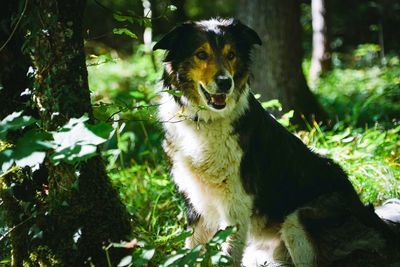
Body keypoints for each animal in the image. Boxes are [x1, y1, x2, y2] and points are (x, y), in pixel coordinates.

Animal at [152, 17, 396, 266]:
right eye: (201, 54)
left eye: (231, 55)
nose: (225, 83)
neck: (206, 122)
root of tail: (374, 218)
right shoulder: (195, 205)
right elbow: (189, 250)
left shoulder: (235, 207)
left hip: (296, 221)